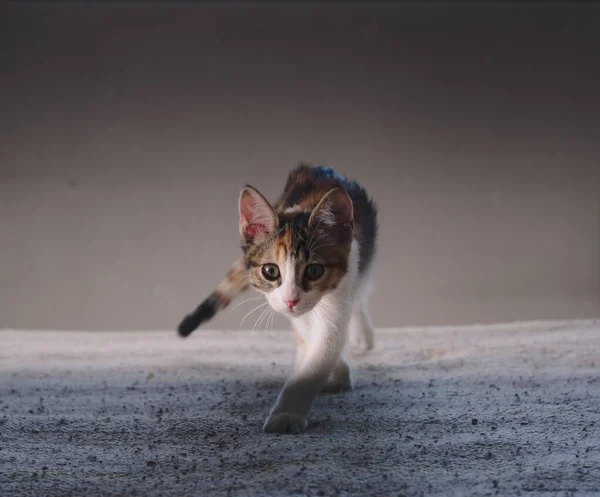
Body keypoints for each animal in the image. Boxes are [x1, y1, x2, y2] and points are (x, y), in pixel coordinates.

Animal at [176, 164, 378, 434]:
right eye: (270, 271)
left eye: (315, 270)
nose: (291, 300)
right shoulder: (292, 307)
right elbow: (309, 334)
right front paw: (328, 369)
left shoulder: (344, 278)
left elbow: (326, 340)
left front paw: (287, 413)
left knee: (361, 295)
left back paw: (363, 334)